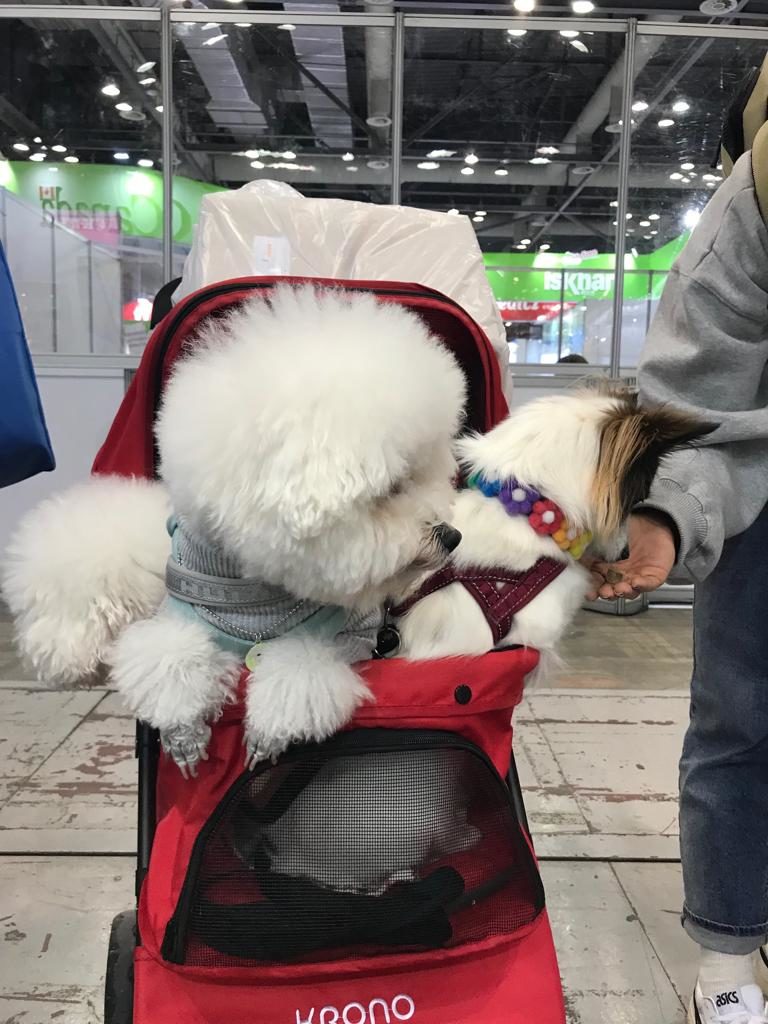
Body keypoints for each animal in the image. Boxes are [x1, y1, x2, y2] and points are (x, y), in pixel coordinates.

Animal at [4, 284, 462, 770]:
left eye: (428, 474)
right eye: (393, 488)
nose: (452, 536)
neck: (252, 588)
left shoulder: (340, 638)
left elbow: (297, 672)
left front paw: (266, 735)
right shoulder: (176, 620)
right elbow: (168, 661)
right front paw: (183, 734)